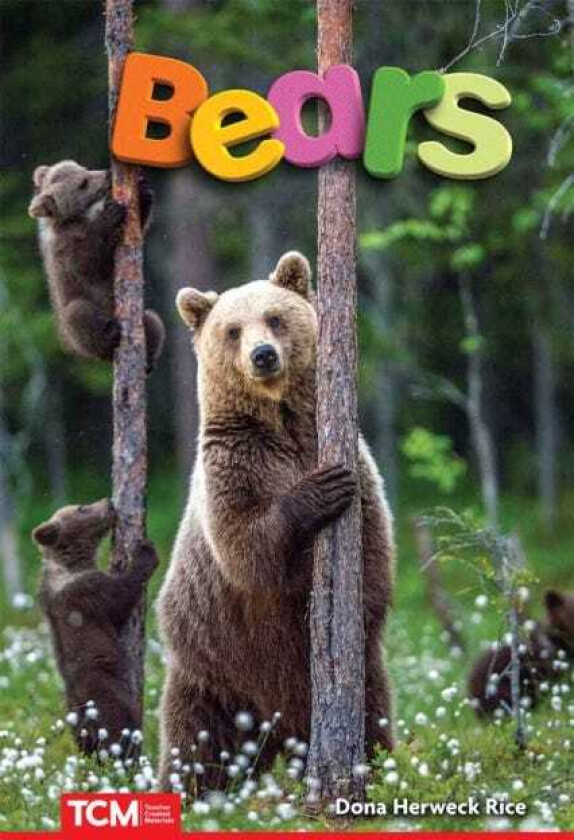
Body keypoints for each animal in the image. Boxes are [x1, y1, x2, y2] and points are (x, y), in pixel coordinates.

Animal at [28, 160, 165, 372]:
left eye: (84, 169)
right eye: (83, 183)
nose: (107, 174)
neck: (80, 217)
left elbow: (137, 229)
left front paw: (143, 191)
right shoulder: (67, 247)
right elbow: (88, 265)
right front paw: (110, 215)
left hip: (141, 320)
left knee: (152, 320)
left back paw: (148, 360)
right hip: (74, 326)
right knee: (78, 314)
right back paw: (109, 335)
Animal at [32, 498, 159, 755]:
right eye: (82, 508)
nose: (109, 502)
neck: (70, 564)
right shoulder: (87, 593)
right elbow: (121, 598)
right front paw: (145, 551)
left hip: (74, 718)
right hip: (107, 696)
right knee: (121, 728)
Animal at [156, 251, 395, 792]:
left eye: (275, 317)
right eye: (232, 329)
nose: (263, 355)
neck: (281, 422)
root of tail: (275, 730)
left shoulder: (352, 461)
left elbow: (372, 551)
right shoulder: (234, 465)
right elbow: (246, 548)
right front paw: (319, 491)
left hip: (355, 679)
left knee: (373, 715)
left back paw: (377, 767)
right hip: (212, 668)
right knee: (195, 743)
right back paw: (190, 790)